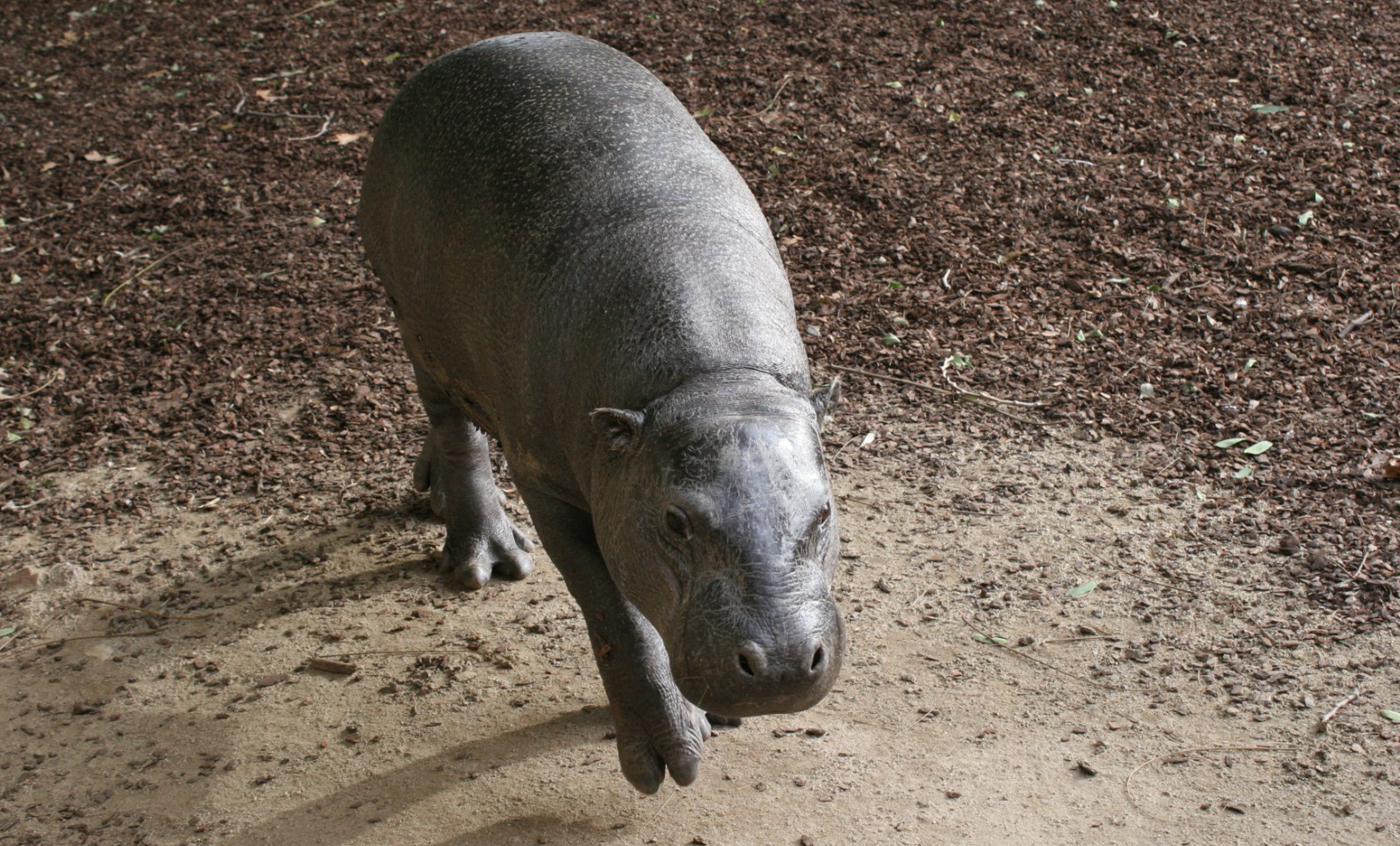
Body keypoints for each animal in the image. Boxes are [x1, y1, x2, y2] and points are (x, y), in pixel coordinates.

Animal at [361, 29, 840, 789]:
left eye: (823, 513)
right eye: (675, 521)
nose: (787, 665)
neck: (710, 381)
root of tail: (460, 52)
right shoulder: (549, 477)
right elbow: (616, 613)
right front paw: (666, 757)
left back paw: (429, 491)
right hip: (412, 317)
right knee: (454, 423)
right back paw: (488, 560)